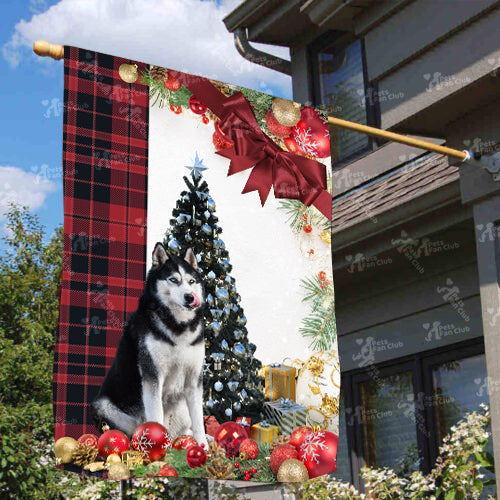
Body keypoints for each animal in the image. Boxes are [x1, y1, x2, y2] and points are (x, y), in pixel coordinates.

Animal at [90, 244, 207, 448]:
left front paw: (205, 448)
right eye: (173, 280)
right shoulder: (152, 374)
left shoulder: (194, 378)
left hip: (182, 411)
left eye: (191, 281)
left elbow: (199, 420)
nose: (190, 297)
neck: (177, 326)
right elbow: (156, 416)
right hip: (102, 406)